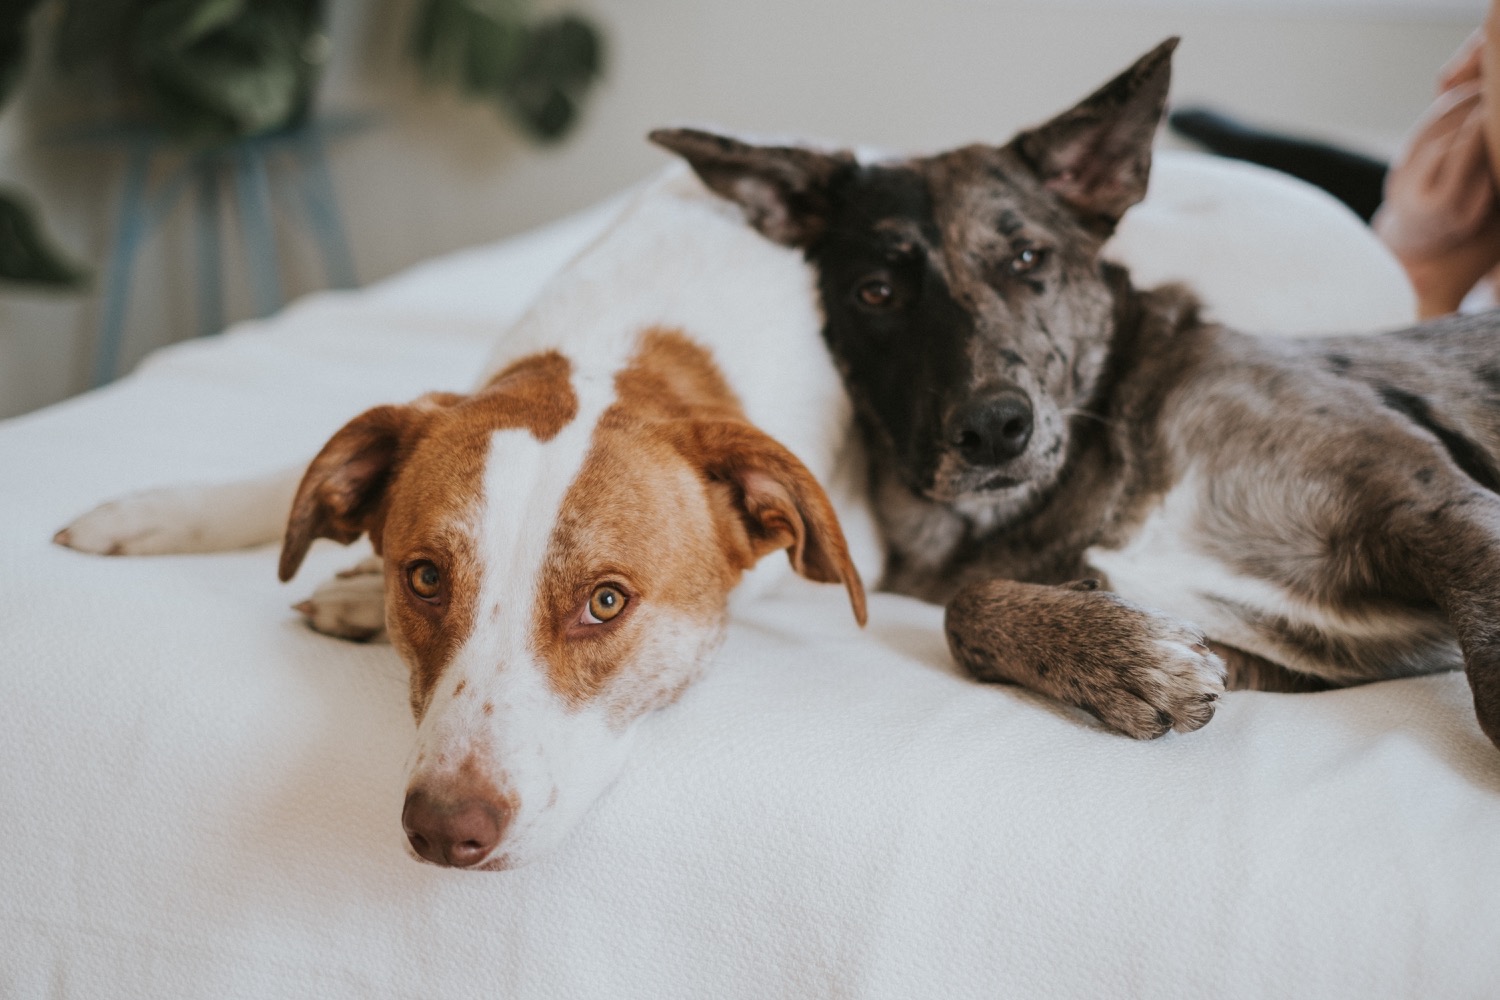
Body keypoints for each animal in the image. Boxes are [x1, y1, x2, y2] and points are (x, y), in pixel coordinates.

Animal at [61, 166, 870, 869]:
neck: (622, 347)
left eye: (606, 602)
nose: (447, 833)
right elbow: (286, 475)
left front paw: (356, 592)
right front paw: (150, 513)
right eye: (423, 578)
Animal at [663, 39, 1500, 755]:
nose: (993, 430)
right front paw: (1122, 658)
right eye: (876, 293)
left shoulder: (1431, 507)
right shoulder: (1287, 654)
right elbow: (964, 609)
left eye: (1028, 258)